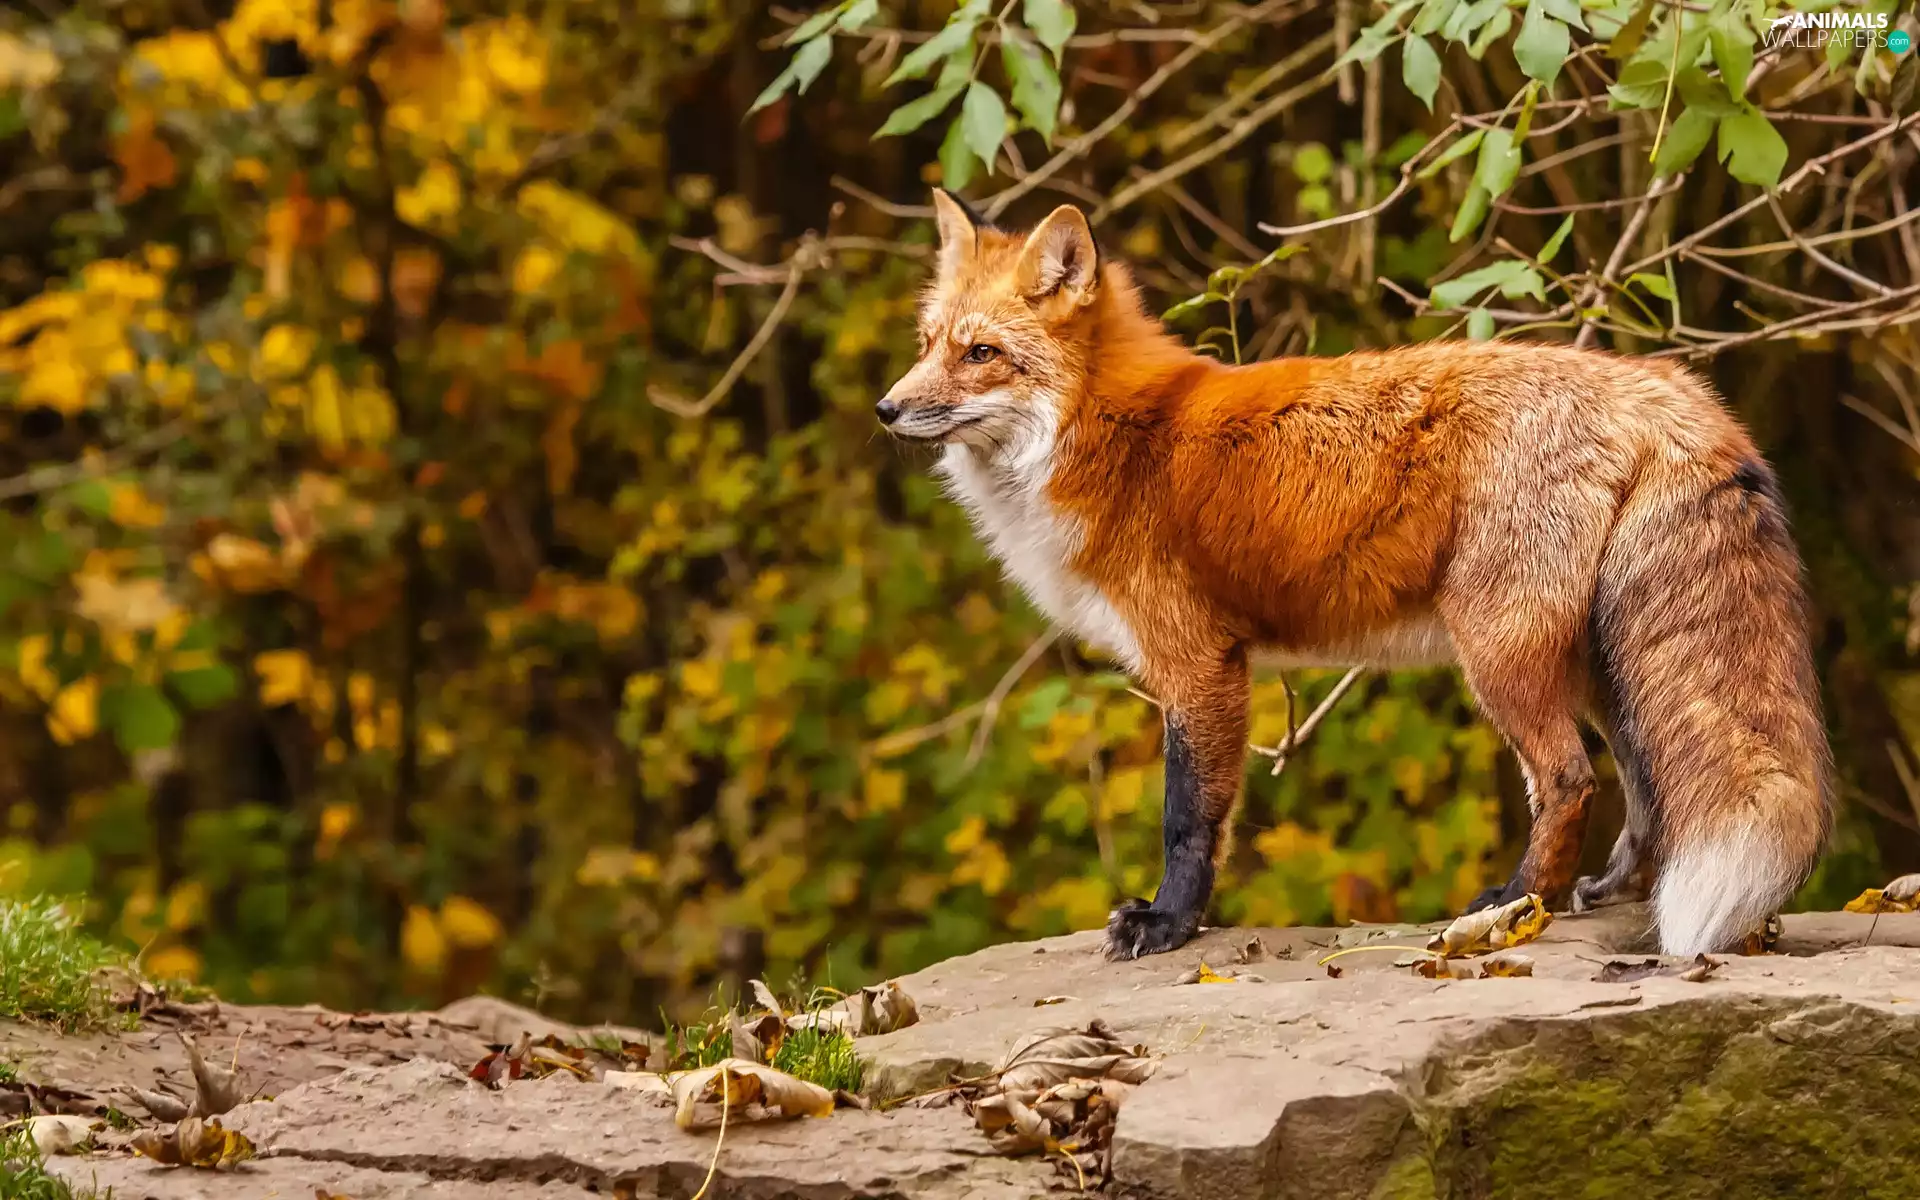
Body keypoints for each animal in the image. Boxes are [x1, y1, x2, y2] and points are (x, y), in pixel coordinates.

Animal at [878, 189, 1833, 962]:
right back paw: (1600, 894)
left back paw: (1516, 905)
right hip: (1602, 660)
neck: (1108, 435)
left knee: (1571, 780)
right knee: (1643, 789)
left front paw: (1167, 923)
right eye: (926, 344)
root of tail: (1662, 384)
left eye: (980, 354)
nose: (887, 408)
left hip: (1500, 650)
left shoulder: (1199, 664)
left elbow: (1189, 818)